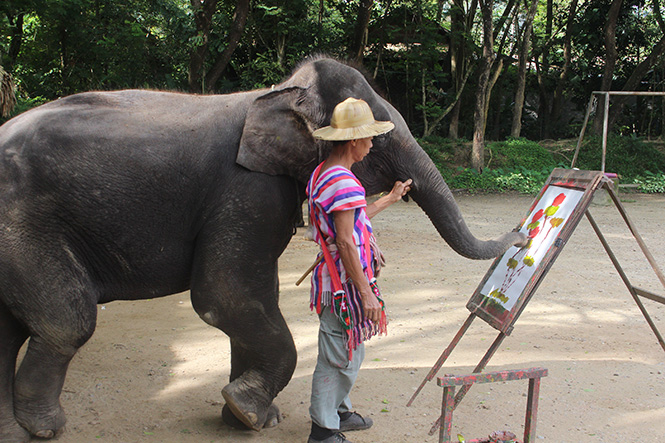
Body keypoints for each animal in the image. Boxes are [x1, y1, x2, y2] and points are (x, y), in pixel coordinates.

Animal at [0, 57, 524, 442]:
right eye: (380, 142)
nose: (521, 235)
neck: (279, 93)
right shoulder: (247, 188)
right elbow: (224, 295)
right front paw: (248, 413)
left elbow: (252, 297)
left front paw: (245, 416)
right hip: (21, 225)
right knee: (68, 319)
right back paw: (44, 428)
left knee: (10, 326)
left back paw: (14, 428)